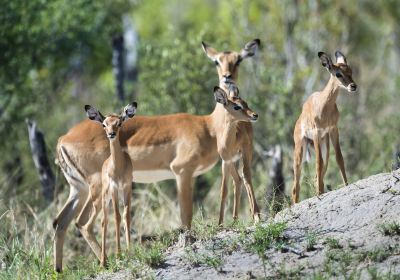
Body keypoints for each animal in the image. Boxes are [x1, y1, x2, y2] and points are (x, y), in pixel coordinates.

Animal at [84, 103, 136, 266]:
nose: (111, 134)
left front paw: (130, 251)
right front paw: (119, 255)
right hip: (104, 197)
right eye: (104, 124)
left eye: (118, 123)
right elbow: (117, 217)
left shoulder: (127, 187)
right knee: (104, 221)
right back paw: (102, 261)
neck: (118, 167)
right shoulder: (114, 189)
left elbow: (126, 216)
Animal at [202, 38, 260, 223]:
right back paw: (234, 218)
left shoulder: (244, 151)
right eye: (237, 106)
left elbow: (246, 177)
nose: (254, 115)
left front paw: (256, 215)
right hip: (231, 162)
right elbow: (224, 189)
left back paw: (254, 214)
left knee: (245, 177)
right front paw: (220, 222)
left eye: (246, 103)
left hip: (245, 154)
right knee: (236, 181)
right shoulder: (225, 160)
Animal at [290, 50, 360, 203]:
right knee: (295, 185)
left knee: (319, 174)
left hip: (324, 144)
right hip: (300, 148)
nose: (353, 86)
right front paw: (319, 194)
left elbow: (339, 158)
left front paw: (346, 184)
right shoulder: (317, 132)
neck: (324, 105)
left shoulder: (333, 130)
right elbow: (318, 163)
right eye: (338, 73)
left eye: (350, 71)